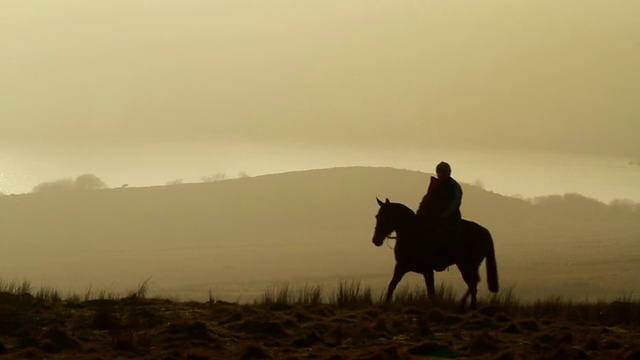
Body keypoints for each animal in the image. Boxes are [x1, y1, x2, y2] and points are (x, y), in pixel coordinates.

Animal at [370, 195, 500, 310]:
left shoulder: (427, 270)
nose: (376, 240)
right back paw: (470, 305)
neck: (412, 234)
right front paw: (386, 303)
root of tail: (485, 232)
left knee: (473, 283)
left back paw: (465, 304)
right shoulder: (401, 267)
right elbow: (392, 285)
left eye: (386, 216)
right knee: (474, 283)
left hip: (467, 265)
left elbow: (431, 292)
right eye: (377, 216)